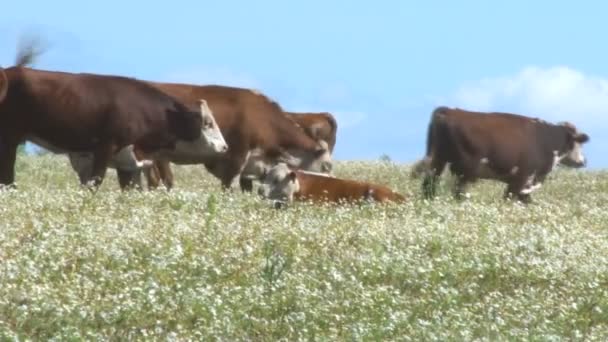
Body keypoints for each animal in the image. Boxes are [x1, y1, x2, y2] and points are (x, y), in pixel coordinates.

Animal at [0, 47, 216, 190]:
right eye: (208, 123)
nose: (222, 147)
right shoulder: (106, 145)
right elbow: (95, 181)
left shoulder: (126, 158)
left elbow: (128, 186)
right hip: (9, 137)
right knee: (7, 175)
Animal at [418, 106, 588, 203]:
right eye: (578, 143)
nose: (584, 161)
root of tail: (450, 111)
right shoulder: (522, 178)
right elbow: (513, 199)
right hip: (464, 169)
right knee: (456, 192)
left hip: (438, 162)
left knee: (429, 185)